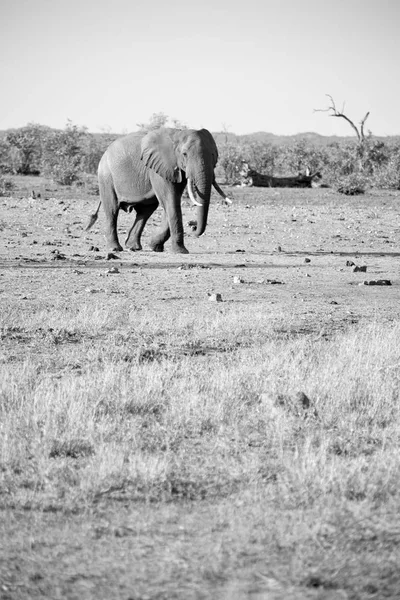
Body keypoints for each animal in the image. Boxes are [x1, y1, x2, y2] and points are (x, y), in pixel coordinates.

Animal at [86, 127, 233, 254]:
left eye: (214, 155)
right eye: (184, 154)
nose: (193, 226)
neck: (177, 134)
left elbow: (170, 203)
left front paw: (155, 247)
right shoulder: (159, 167)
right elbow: (171, 202)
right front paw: (181, 251)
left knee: (145, 211)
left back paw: (133, 247)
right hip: (106, 176)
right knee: (112, 210)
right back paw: (115, 248)